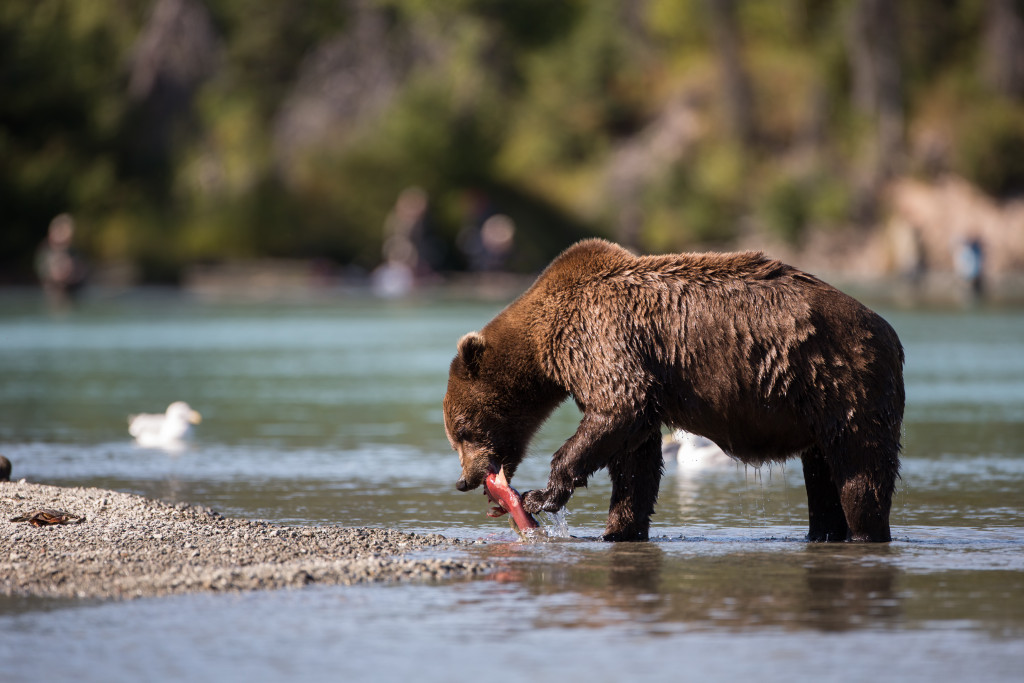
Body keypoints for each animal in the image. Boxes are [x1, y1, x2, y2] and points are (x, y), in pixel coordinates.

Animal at [444, 240, 909, 544]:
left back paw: (865, 532)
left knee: (860, 478)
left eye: (462, 430)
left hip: (844, 386)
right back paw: (823, 533)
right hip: (817, 409)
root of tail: (891, 334)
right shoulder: (640, 381)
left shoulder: (603, 340)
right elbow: (636, 459)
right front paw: (620, 528)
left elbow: (617, 408)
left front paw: (541, 496)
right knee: (823, 480)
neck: (546, 345)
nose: (465, 480)